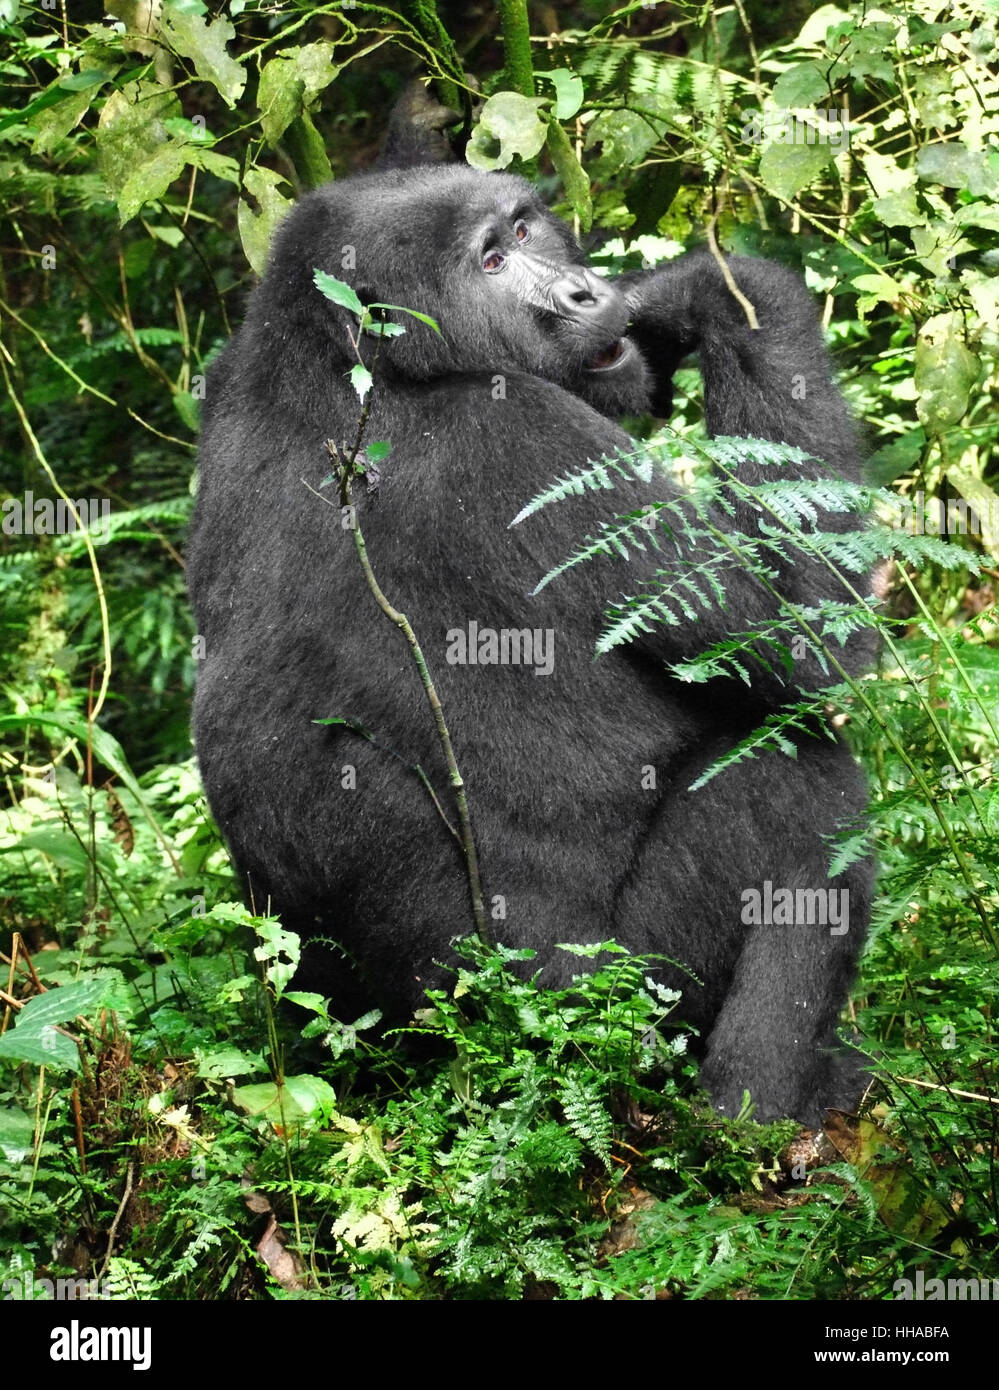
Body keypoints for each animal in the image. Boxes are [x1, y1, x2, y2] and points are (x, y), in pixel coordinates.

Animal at [187, 143, 878, 1117]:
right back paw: (760, 1105)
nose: (586, 295)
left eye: (521, 230)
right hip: (618, 1010)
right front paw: (716, 287)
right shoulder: (517, 431)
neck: (344, 355)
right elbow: (814, 644)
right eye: (488, 263)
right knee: (797, 774)